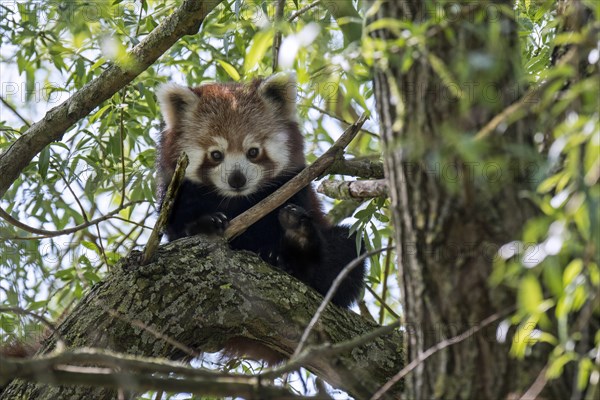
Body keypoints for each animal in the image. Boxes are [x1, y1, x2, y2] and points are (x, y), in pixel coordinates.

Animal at [157, 73, 364, 308]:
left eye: (253, 152)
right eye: (216, 154)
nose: (237, 179)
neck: (236, 200)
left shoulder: (294, 187)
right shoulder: (179, 191)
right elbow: (177, 229)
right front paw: (206, 223)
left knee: (347, 247)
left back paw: (298, 240)